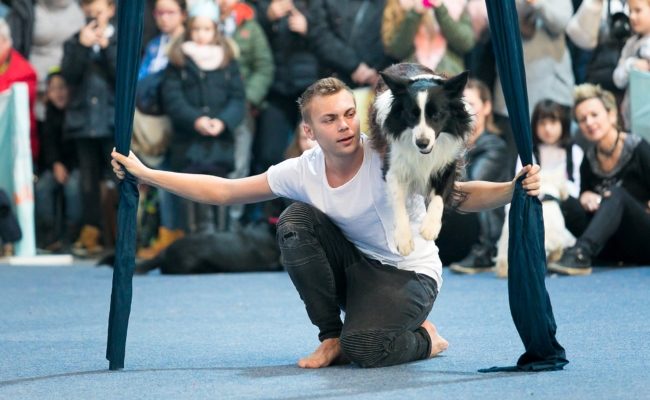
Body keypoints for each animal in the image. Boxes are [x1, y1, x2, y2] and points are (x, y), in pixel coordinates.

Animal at [370, 63, 470, 256]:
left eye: (436, 114)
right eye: (411, 114)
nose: (422, 143)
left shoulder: (448, 163)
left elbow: (439, 196)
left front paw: (430, 227)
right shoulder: (393, 165)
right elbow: (398, 200)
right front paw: (403, 238)